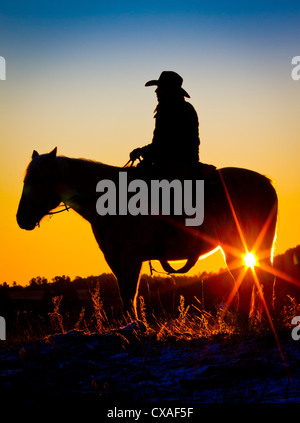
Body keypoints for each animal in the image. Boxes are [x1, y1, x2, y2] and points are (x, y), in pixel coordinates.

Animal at [16, 147, 278, 320]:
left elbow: (130, 293)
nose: (21, 219)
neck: (113, 199)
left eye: (38, 180)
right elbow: (124, 294)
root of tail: (266, 183)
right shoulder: (114, 258)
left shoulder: (131, 257)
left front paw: (135, 328)